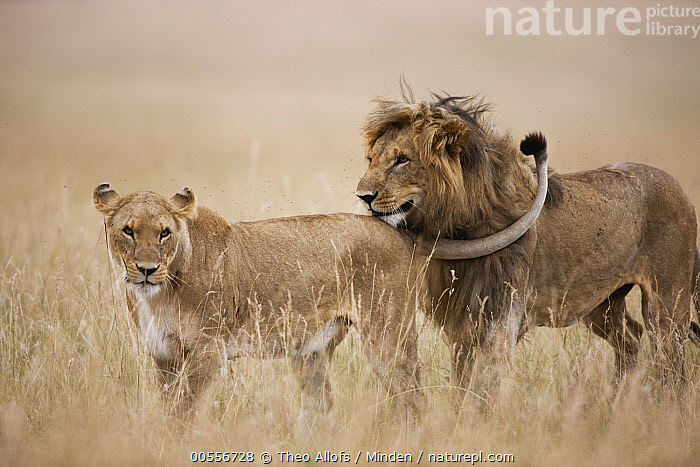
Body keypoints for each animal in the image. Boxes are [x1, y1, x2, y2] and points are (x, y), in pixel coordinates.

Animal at [93, 183, 436, 426]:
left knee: (413, 400)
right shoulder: (163, 354)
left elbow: (184, 412)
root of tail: (398, 233)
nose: (147, 270)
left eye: (164, 233)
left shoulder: (208, 351)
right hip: (312, 350)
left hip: (389, 336)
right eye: (128, 230)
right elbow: (171, 410)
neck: (158, 297)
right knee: (319, 404)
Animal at [356, 90, 699, 402]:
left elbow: (488, 384)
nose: (363, 196)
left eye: (402, 160)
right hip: (601, 304)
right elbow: (461, 383)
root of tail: (680, 189)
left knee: (672, 363)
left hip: (667, 304)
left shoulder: (500, 320)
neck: (459, 222)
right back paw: (617, 402)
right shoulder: (461, 323)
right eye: (371, 160)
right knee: (631, 338)